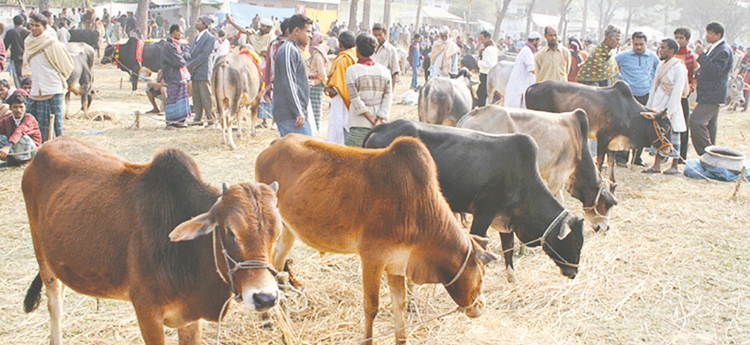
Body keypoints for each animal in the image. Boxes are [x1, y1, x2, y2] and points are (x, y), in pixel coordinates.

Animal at [22, 137, 284, 344]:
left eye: (277, 232)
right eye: (229, 231)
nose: (265, 298)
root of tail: (45, 148)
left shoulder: (190, 319)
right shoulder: (147, 314)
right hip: (41, 254)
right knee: (55, 303)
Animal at [258, 134, 500, 344]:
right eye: (481, 276)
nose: (480, 306)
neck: (419, 211)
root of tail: (275, 144)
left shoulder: (396, 264)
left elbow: (399, 305)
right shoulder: (372, 260)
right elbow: (371, 307)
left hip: (288, 230)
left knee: (278, 264)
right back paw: (269, 320)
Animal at [364, 119, 588, 280]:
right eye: (576, 241)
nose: (573, 273)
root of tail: (383, 126)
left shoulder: (505, 221)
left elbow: (508, 248)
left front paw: (512, 278)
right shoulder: (483, 214)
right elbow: (480, 247)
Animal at [524, 80, 672, 183]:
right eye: (665, 127)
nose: (669, 149)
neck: (628, 111)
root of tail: (533, 86)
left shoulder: (613, 142)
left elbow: (611, 162)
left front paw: (612, 181)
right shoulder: (603, 138)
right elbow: (600, 161)